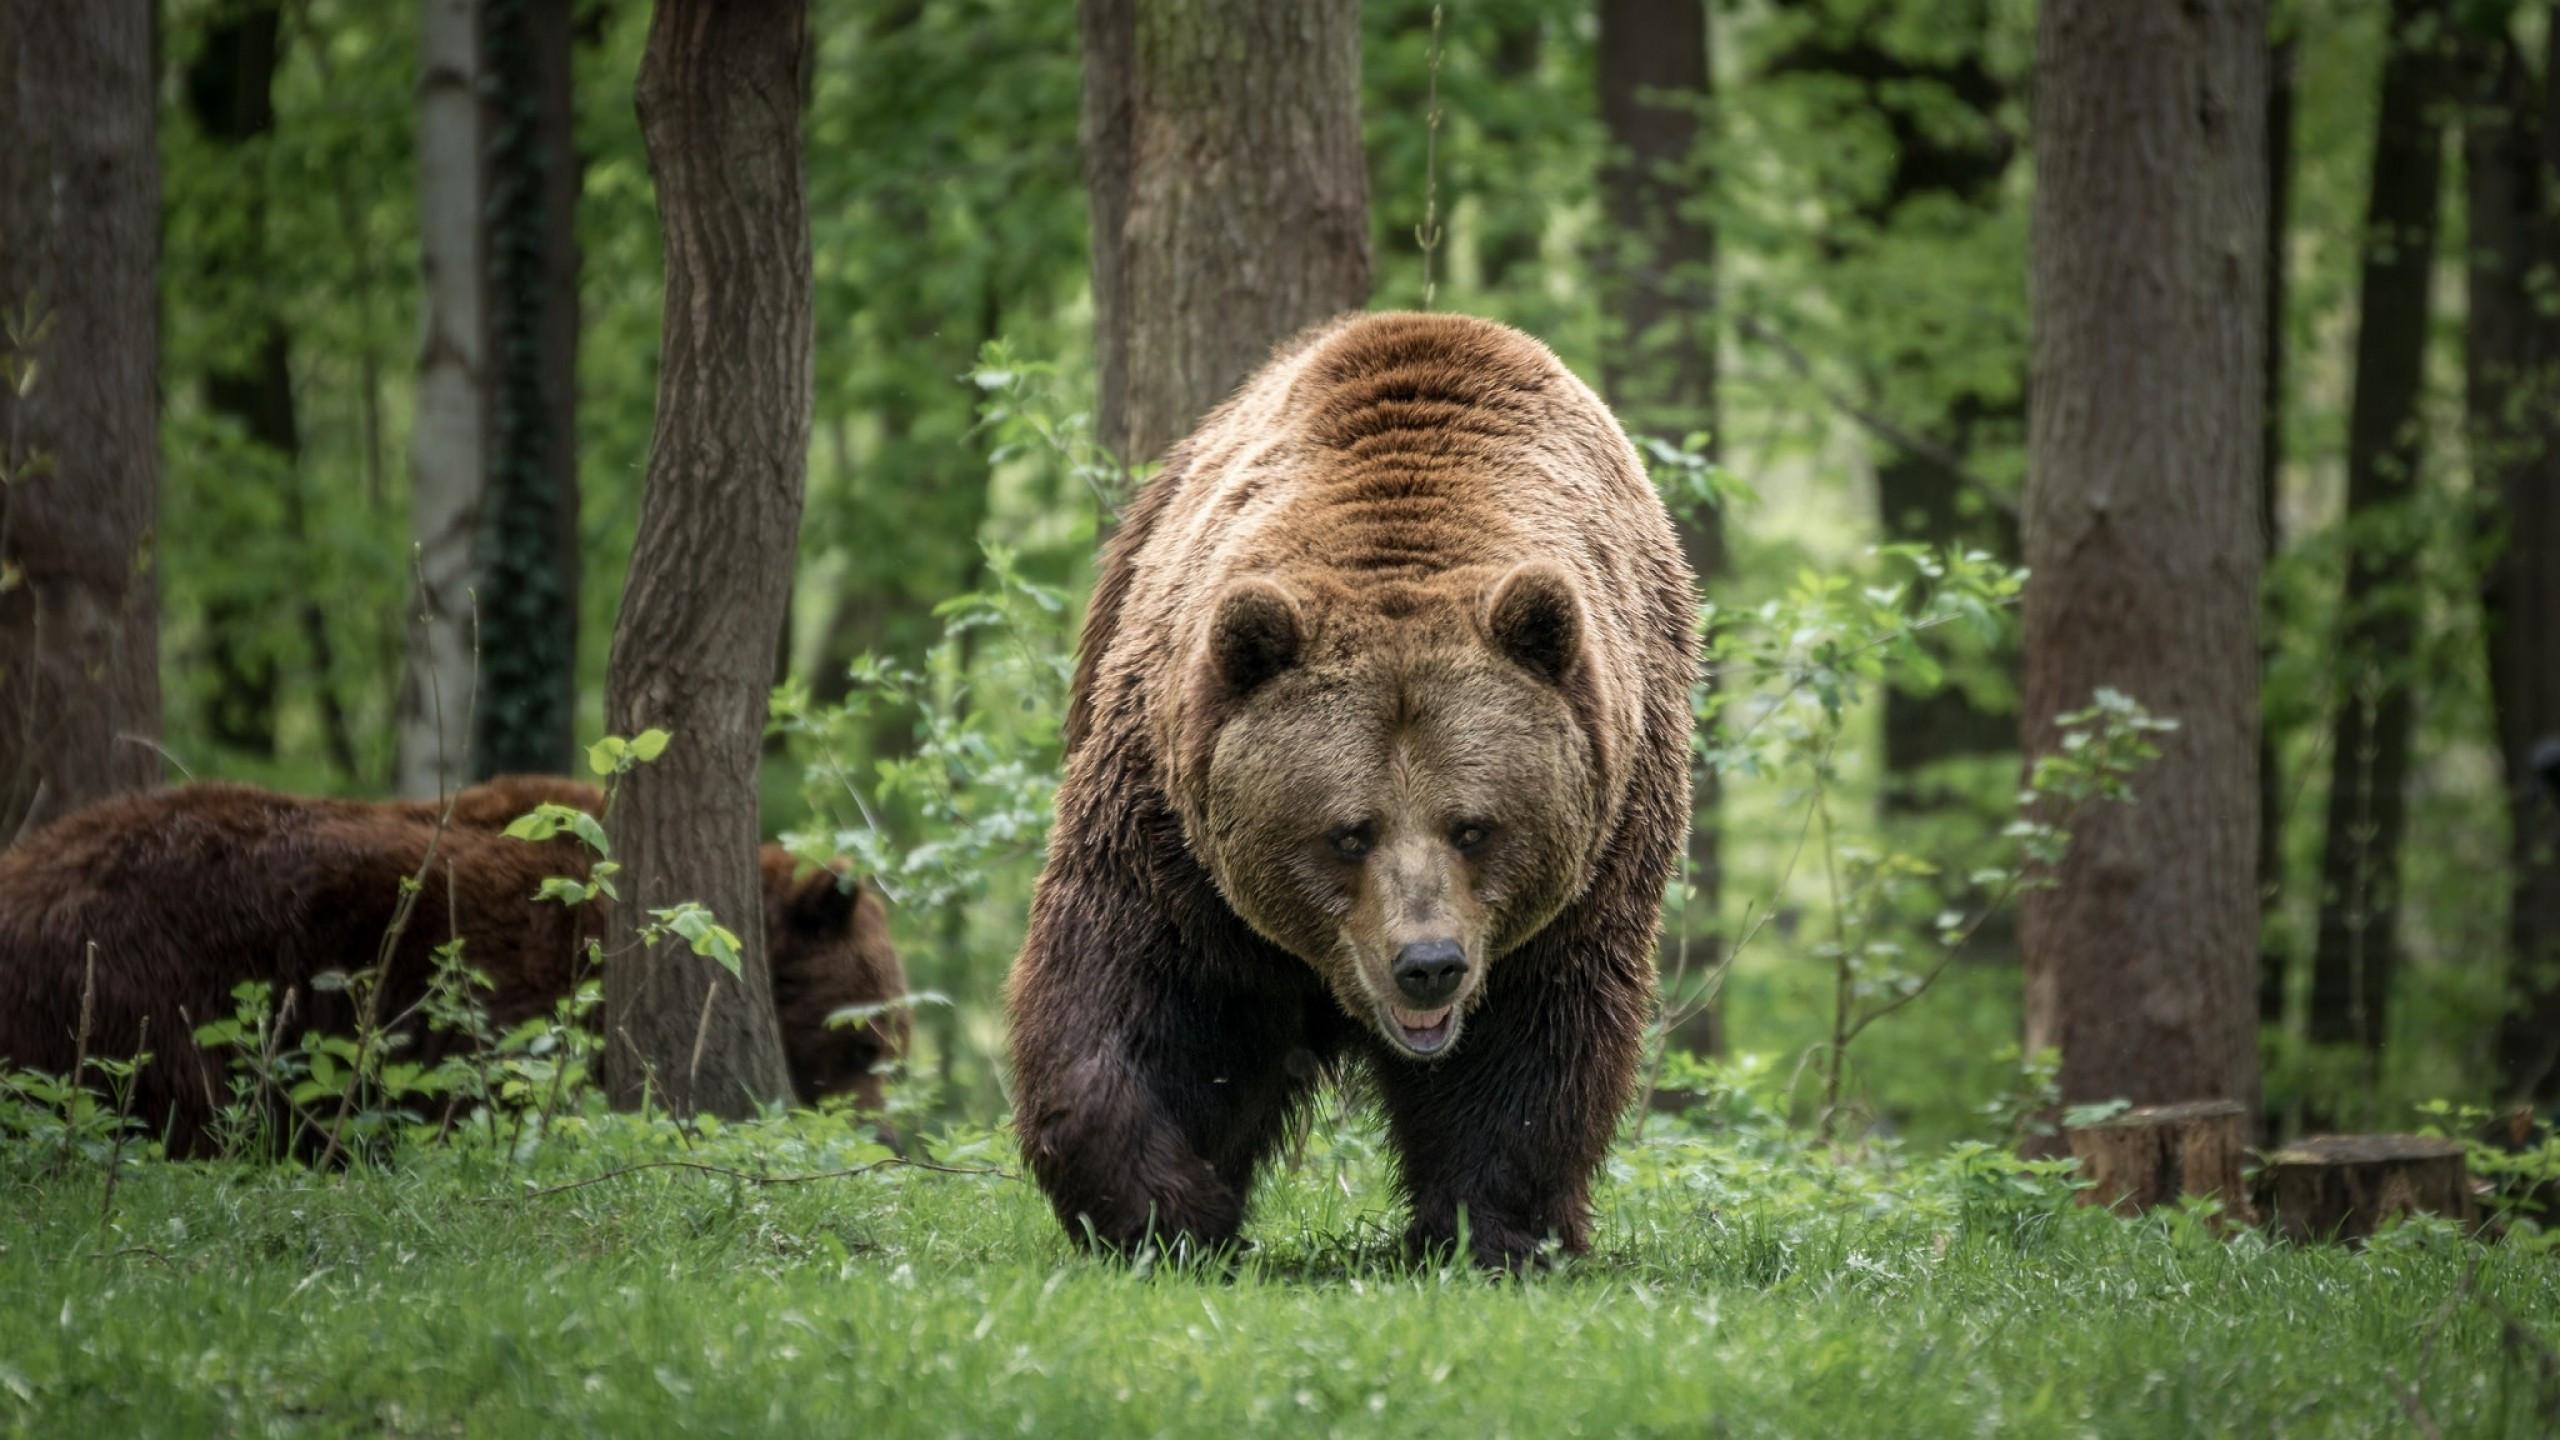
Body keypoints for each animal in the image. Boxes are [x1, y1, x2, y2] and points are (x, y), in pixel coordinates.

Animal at [1006, 312, 1697, 1268]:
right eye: (1348, 832)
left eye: (1474, 827)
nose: (1428, 965)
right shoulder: (1171, 833)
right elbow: (1131, 992)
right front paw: (1165, 1210)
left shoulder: (1596, 854)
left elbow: (1535, 1047)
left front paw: (1492, 1231)